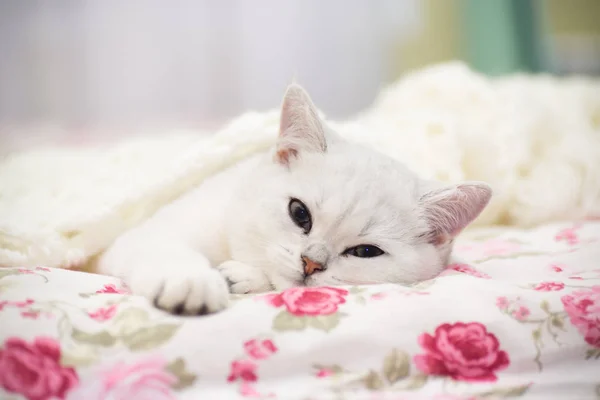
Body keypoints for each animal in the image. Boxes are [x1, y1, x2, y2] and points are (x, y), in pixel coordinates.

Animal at [98, 85, 492, 316]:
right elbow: (166, 250)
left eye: (365, 252)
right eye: (299, 214)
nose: (311, 263)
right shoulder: (138, 237)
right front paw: (192, 282)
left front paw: (240, 277)